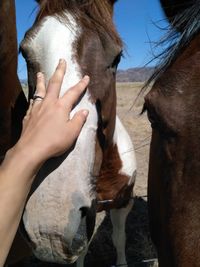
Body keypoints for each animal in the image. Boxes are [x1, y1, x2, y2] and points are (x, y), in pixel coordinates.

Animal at [19, 1, 137, 266]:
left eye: (116, 57)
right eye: (25, 53)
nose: (49, 230)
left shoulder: (124, 203)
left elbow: (120, 238)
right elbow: (82, 252)